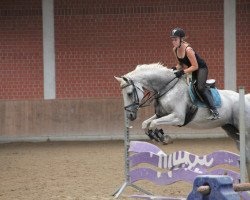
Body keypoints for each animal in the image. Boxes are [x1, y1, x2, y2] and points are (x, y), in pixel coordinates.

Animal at [115, 62, 250, 180]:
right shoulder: (161, 115)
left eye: (129, 93)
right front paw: (155, 135)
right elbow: (146, 123)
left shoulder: (177, 118)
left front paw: (164, 138)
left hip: (244, 131)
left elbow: (153, 123)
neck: (168, 88)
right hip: (231, 130)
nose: (130, 115)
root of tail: (245, 98)